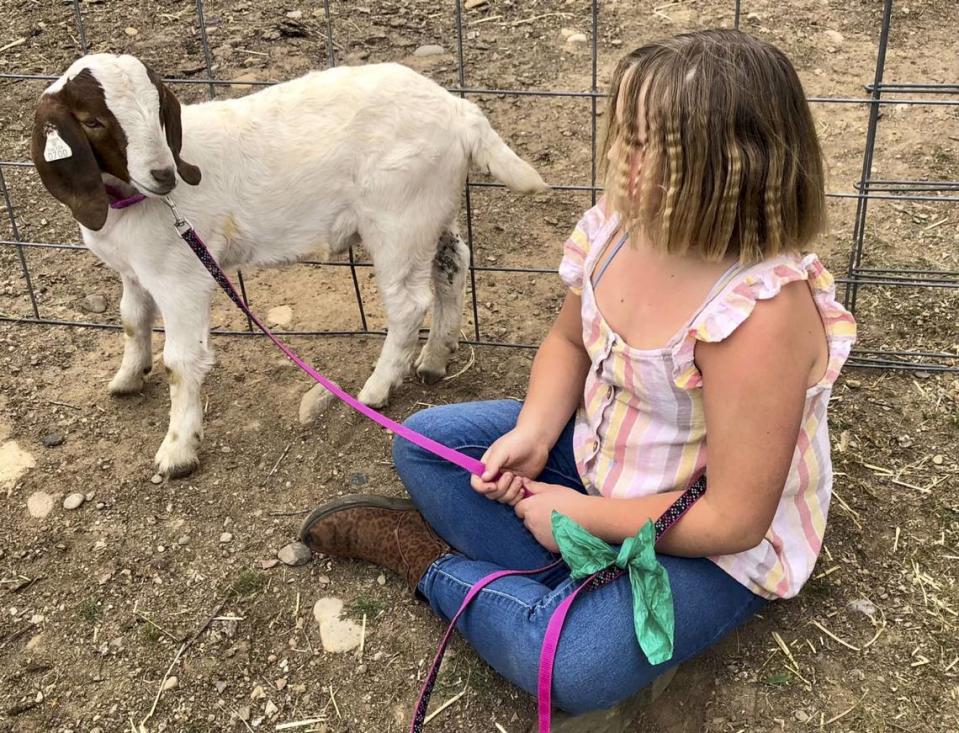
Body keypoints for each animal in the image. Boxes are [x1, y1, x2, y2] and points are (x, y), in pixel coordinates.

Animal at [31, 55, 548, 480]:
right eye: (93, 121)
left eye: (158, 109)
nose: (164, 175)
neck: (130, 203)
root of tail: (459, 112)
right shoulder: (135, 271)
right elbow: (131, 320)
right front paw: (127, 377)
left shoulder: (182, 278)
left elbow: (180, 361)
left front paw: (178, 450)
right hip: (432, 212)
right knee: (452, 265)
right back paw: (435, 359)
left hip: (399, 217)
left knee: (408, 303)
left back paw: (377, 388)